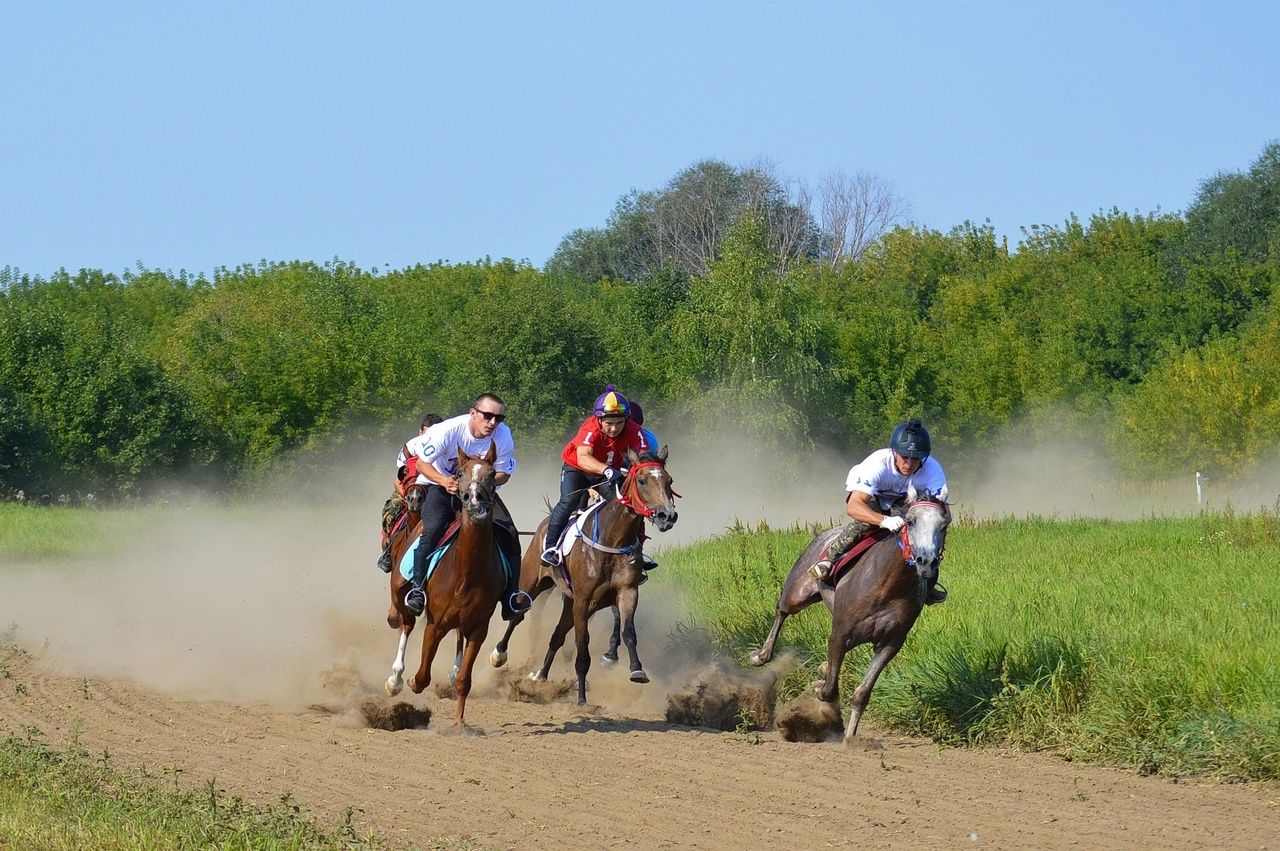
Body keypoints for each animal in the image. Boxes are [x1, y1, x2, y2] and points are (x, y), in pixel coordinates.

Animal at [378, 440, 504, 726]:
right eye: (459, 473)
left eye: (492, 474)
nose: (475, 501)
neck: (467, 573)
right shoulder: (435, 624)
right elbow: (422, 676)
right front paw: (405, 681)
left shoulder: (479, 628)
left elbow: (464, 680)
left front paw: (458, 723)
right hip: (401, 587)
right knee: (406, 623)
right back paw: (395, 679)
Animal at [486, 445, 680, 701]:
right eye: (642, 480)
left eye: (669, 481)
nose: (667, 515)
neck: (612, 539)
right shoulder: (583, 601)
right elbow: (582, 649)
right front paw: (581, 698)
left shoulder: (625, 592)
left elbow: (628, 631)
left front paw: (637, 670)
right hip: (533, 582)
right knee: (518, 614)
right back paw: (499, 655)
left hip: (569, 601)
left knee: (557, 635)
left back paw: (540, 674)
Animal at [747, 483, 947, 742]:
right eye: (910, 521)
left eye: (943, 525)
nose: (926, 561)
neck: (887, 585)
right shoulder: (840, 635)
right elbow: (829, 688)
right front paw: (818, 687)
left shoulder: (890, 642)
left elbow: (861, 692)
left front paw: (849, 738)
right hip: (797, 593)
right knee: (782, 610)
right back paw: (761, 655)